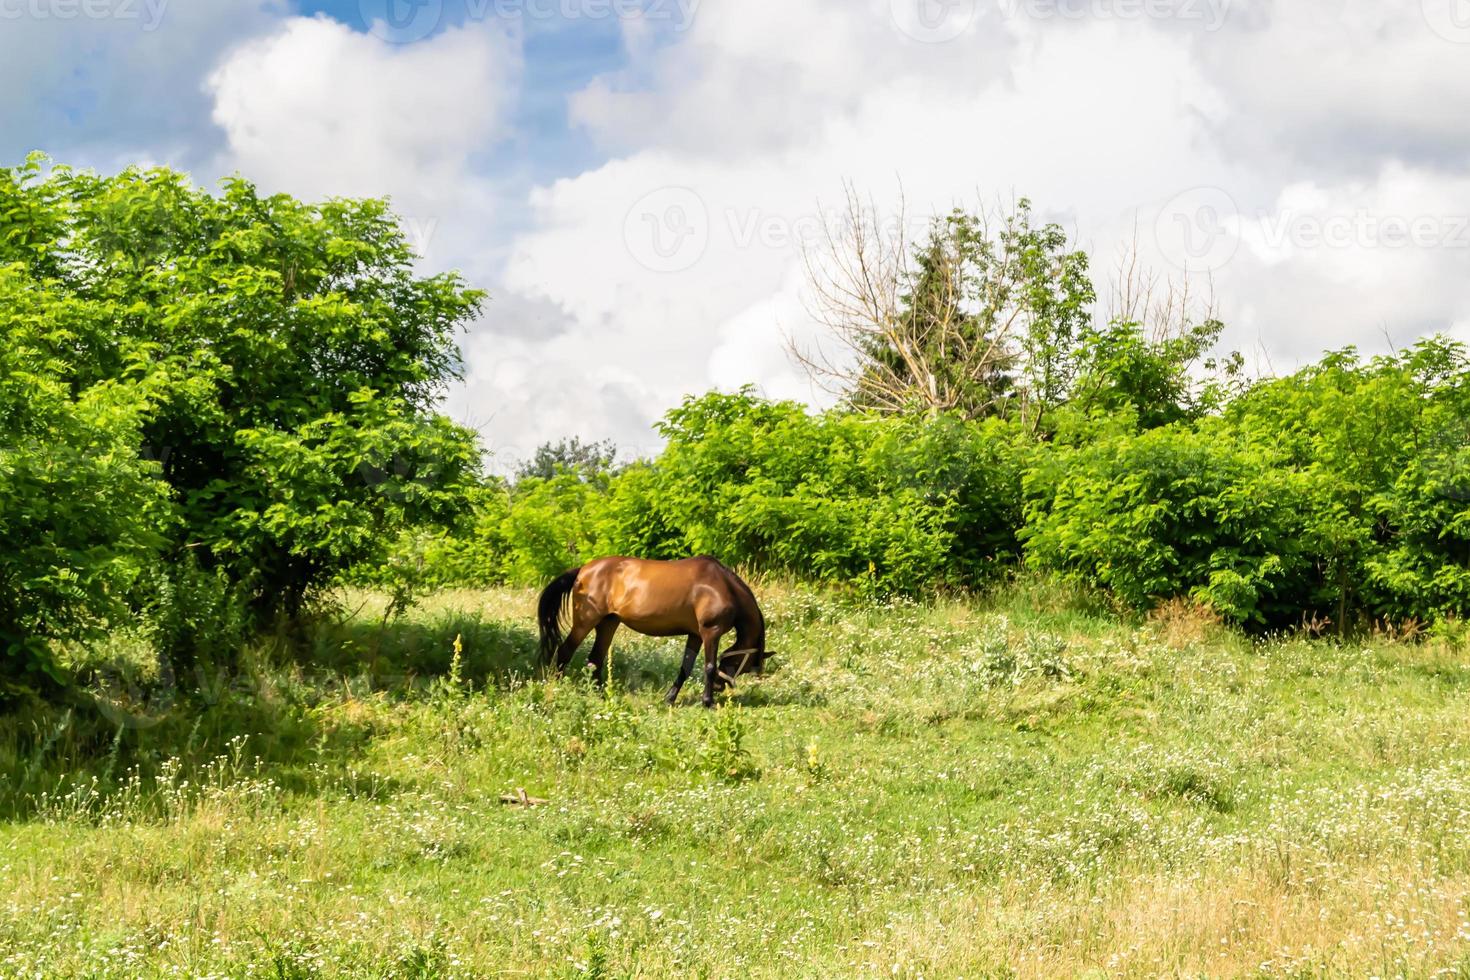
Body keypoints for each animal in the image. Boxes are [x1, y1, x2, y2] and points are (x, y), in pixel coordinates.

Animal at [538, 558, 770, 705]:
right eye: (744, 664)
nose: (720, 687)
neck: (722, 585)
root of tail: (583, 570)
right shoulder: (710, 632)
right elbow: (710, 666)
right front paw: (708, 701)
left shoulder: (695, 635)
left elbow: (685, 668)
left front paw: (670, 698)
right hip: (585, 622)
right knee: (565, 651)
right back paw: (560, 689)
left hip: (608, 623)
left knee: (595, 659)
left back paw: (601, 695)